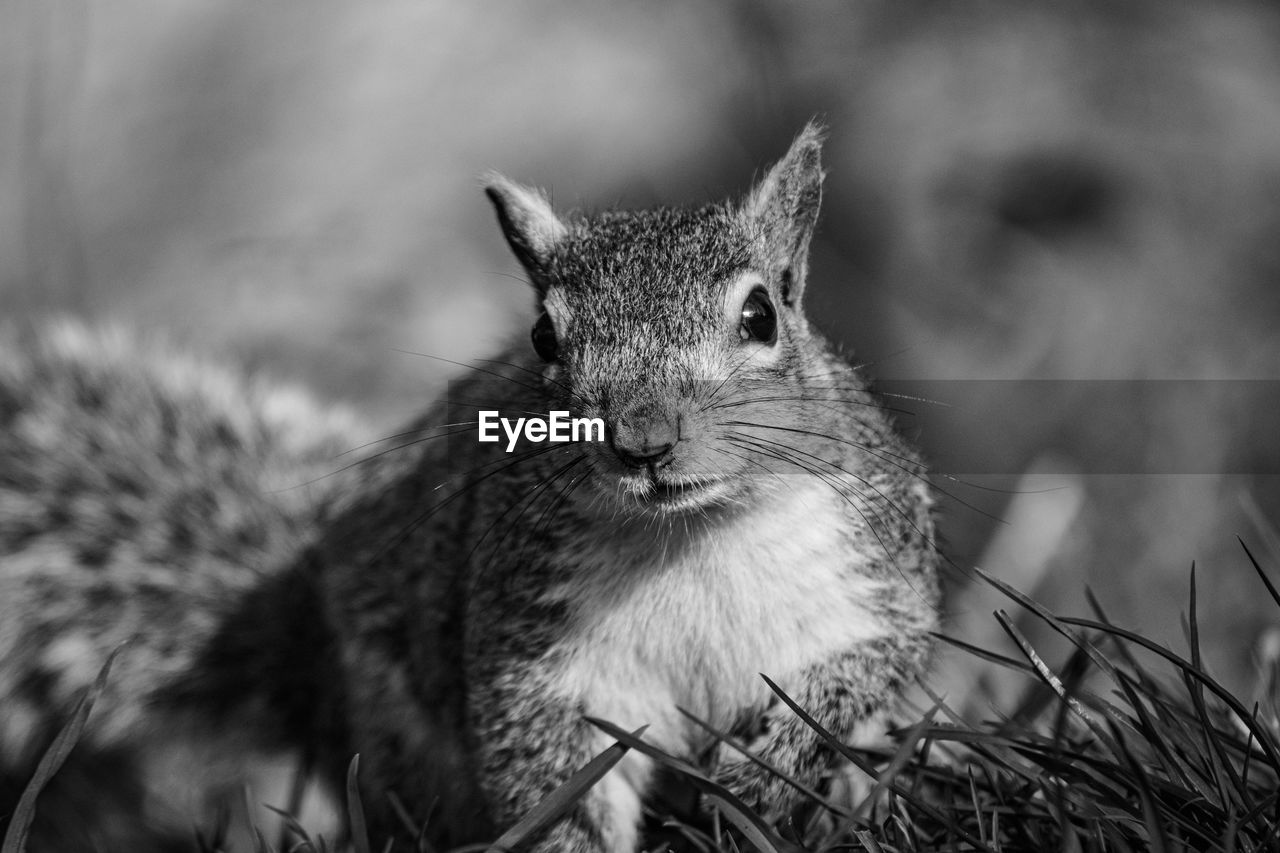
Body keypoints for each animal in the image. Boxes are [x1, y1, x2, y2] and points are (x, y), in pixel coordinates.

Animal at [0, 122, 942, 845]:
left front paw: (768, 768)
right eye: (542, 338)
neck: (688, 533)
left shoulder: (867, 571)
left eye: (760, 315)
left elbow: (867, 662)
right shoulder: (545, 657)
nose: (641, 440)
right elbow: (554, 774)